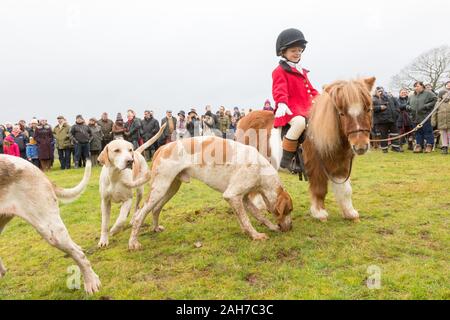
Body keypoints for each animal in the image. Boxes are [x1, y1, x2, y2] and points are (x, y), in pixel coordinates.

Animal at [236, 78, 376, 222]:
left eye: (368, 109)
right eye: (342, 113)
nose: (360, 146)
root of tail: (242, 120)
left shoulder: (341, 167)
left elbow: (346, 190)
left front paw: (350, 213)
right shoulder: (317, 168)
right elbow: (320, 190)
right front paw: (319, 213)